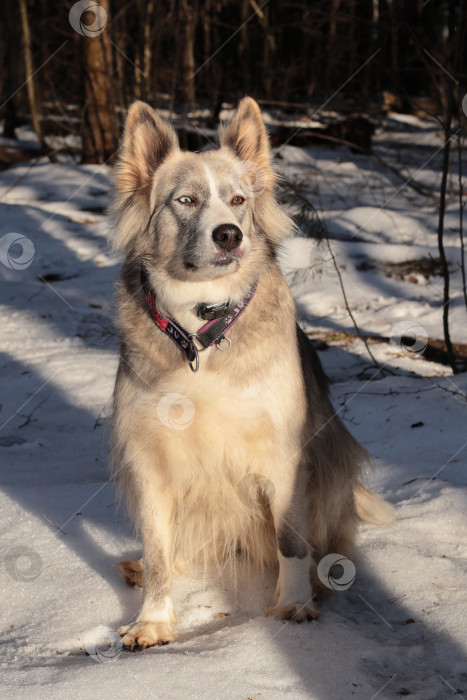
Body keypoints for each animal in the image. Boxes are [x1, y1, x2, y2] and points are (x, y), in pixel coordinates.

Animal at [109, 97, 392, 652]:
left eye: (238, 200)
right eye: (186, 200)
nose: (229, 235)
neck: (202, 333)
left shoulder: (283, 455)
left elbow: (290, 542)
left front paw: (293, 604)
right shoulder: (151, 461)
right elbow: (158, 552)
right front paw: (153, 620)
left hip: (332, 464)